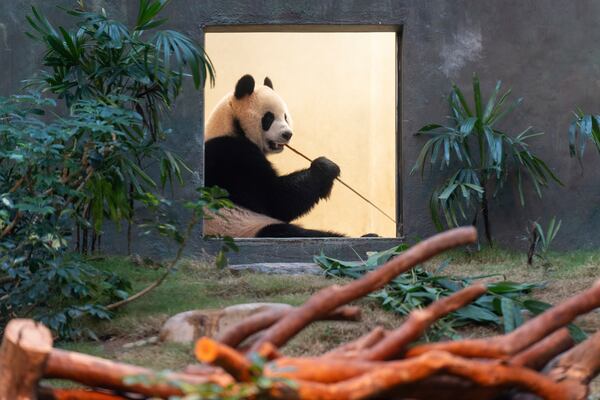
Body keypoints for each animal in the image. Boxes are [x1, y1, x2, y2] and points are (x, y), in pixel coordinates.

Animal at [204, 74, 342, 238]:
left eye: (285, 116)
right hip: (245, 227)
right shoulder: (233, 156)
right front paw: (325, 167)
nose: (287, 134)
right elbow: (275, 199)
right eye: (269, 118)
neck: (231, 125)